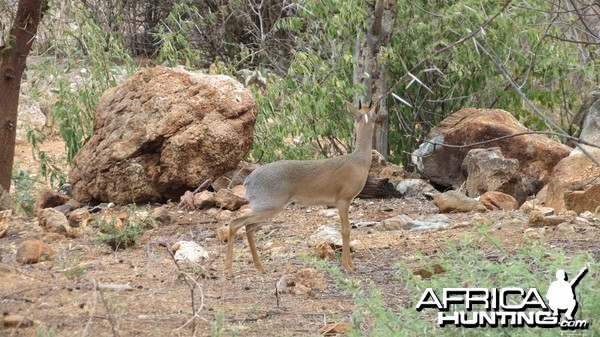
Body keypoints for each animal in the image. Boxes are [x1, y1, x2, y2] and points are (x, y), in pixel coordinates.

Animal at [225, 101, 376, 274]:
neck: (359, 161)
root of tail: (248, 181)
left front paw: (350, 264)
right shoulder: (343, 200)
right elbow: (346, 230)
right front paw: (347, 266)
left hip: (265, 209)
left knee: (248, 226)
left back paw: (259, 266)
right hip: (269, 207)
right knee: (236, 222)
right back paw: (229, 269)